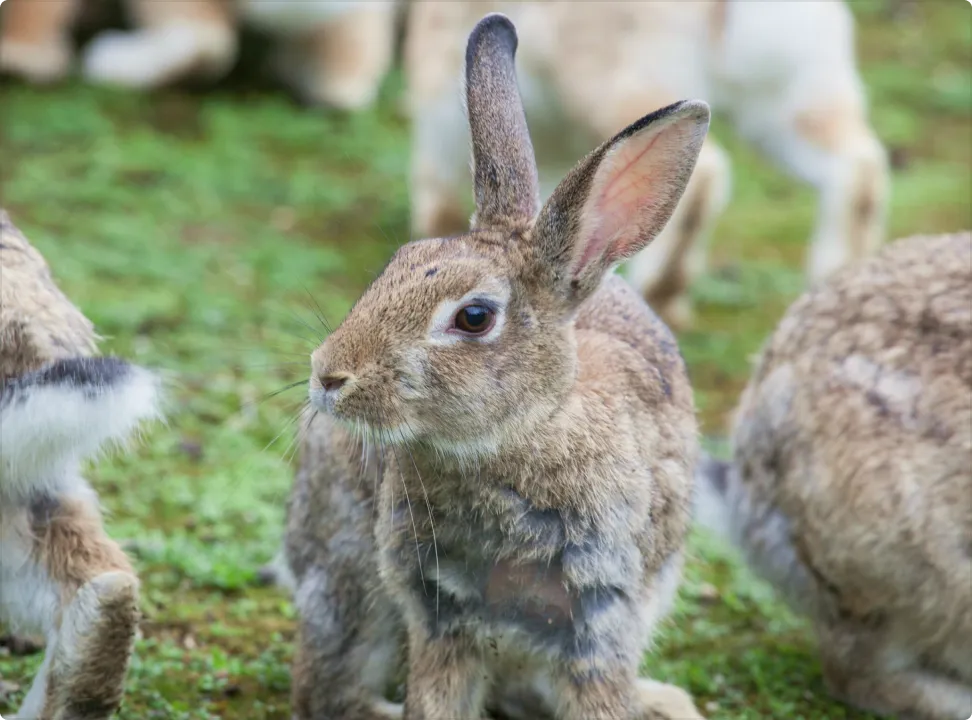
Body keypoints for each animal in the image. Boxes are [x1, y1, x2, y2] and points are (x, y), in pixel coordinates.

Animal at [283, 12, 709, 720]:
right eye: (399, 260)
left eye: (475, 317)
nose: (327, 375)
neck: (523, 435)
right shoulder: (438, 612)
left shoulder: (600, 620)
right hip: (351, 565)